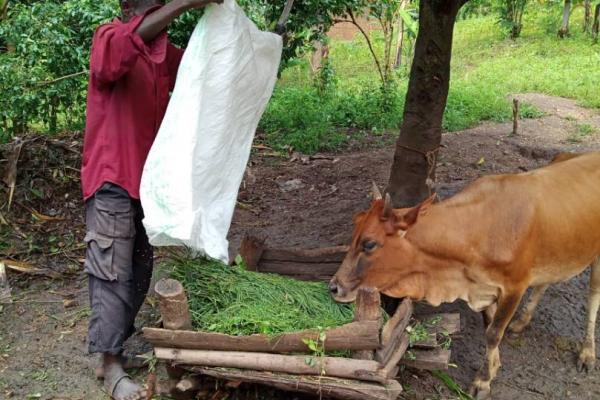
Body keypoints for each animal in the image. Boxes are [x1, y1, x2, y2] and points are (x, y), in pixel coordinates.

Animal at [328, 152, 600, 398]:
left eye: (369, 244)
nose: (334, 287)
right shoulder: (483, 286)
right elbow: (489, 325)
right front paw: (494, 366)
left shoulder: (514, 286)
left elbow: (493, 333)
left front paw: (483, 381)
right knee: (545, 283)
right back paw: (522, 322)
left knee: (593, 297)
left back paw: (587, 353)